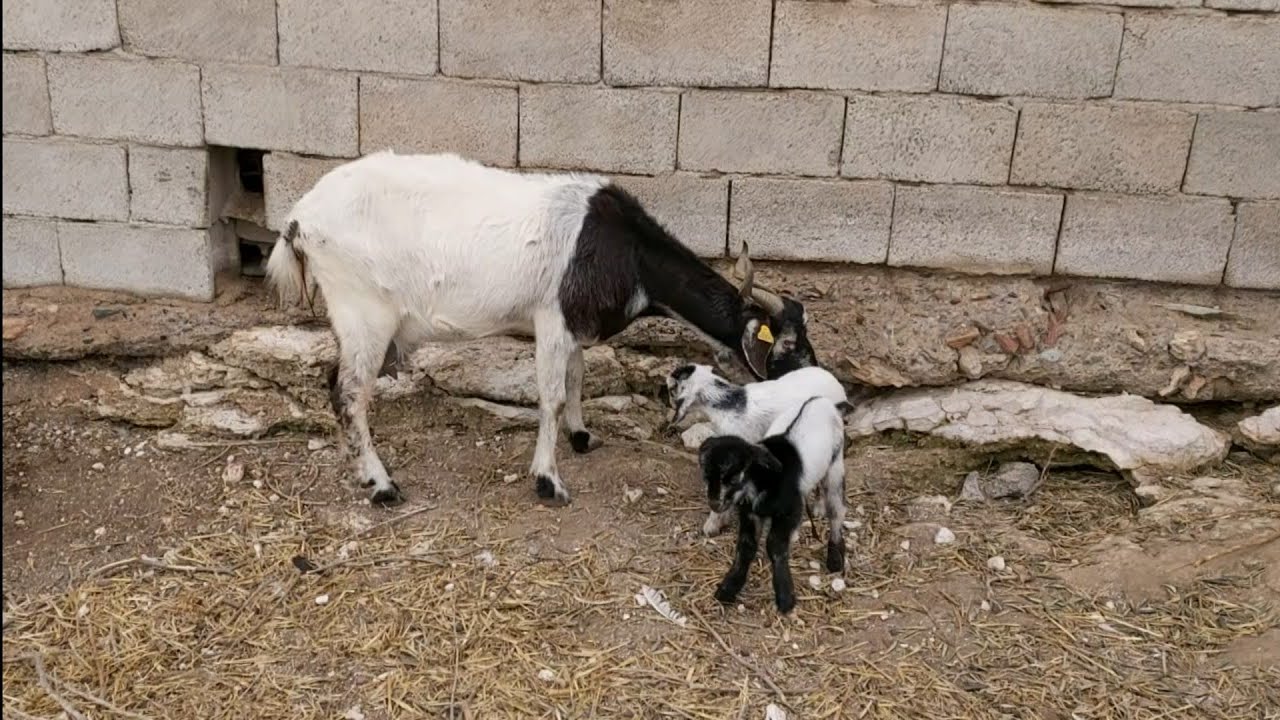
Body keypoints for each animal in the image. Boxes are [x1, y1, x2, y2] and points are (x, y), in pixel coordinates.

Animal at [265, 150, 820, 507]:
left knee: (334, 382)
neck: (625, 251)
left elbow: (576, 380)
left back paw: (359, 468)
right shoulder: (551, 319)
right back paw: (382, 485)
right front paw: (548, 481)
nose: (821, 387)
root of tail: (298, 219)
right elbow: (550, 396)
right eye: (788, 345)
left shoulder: (573, 326)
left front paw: (582, 436)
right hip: (363, 310)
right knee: (349, 392)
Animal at [663, 363, 850, 537]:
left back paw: (819, 509)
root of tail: (837, 385)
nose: (670, 406)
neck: (729, 405)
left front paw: (712, 526)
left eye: (672, 388)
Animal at [698, 396, 848, 614]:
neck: (764, 479)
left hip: (836, 464)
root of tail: (822, 400)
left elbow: (775, 545)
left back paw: (835, 558)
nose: (714, 504)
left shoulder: (789, 511)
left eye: (733, 479)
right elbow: (746, 546)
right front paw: (728, 588)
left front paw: (785, 598)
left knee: (837, 509)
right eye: (706, 477)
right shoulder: (750, 513)